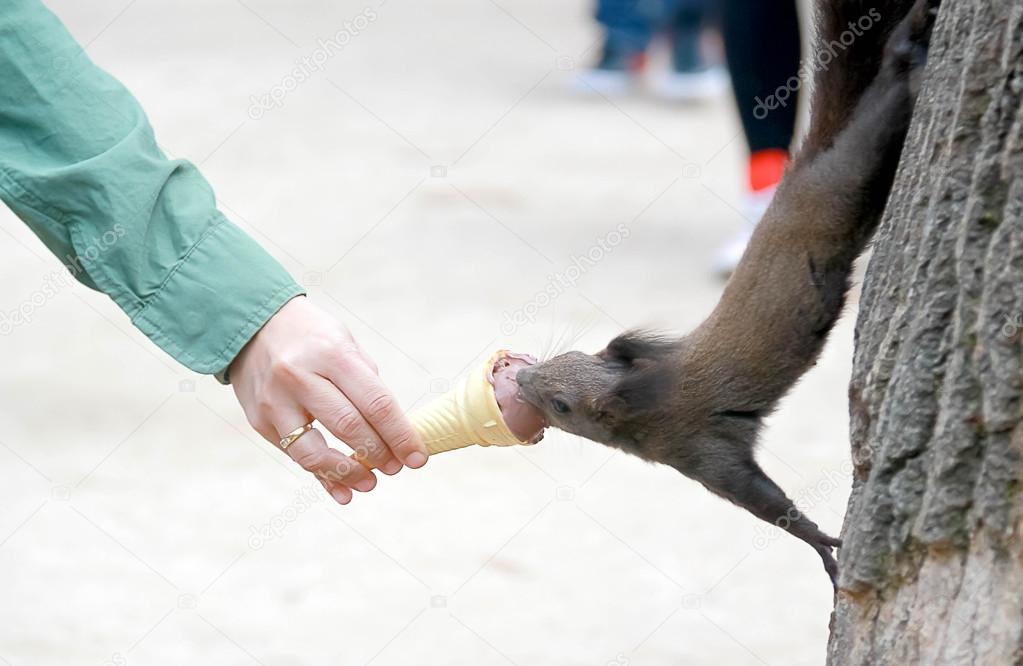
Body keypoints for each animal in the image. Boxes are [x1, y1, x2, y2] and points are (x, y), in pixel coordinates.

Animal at [519, 0, 941, 585]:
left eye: (561, 405)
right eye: (564, 355)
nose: (521, 380)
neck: (644, 398)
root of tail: (800, 173)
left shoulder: (697, 447)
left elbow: (765, 503)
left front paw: (821, 547)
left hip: (849, 177)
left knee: (882, 105)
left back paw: (908, 42)